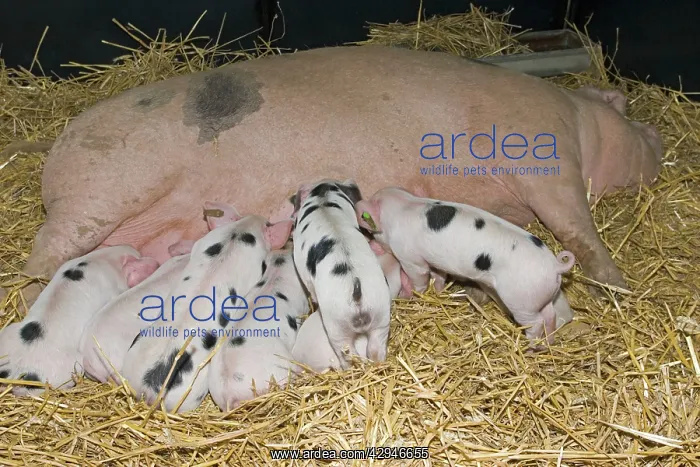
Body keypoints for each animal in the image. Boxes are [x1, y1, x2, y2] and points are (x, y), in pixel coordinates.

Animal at [6, 45, 663, 312]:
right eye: (630, 114)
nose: (657, 138)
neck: (580, 121)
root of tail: (56, 139)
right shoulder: (549, 161)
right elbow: (577, 227)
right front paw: (620, 284)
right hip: (99, 191)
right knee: (45, 251)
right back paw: (27, 293)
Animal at [291, 179, 393, 369]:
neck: (322, 198)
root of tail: (356, 292)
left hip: (337, 327)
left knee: (349, 355)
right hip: (381, 314)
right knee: (376, 349)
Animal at [356, 187, 576, 343]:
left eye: (372, 231)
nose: (372, 244)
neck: (402, 207)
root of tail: (555, 266)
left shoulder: (410, 258)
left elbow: (420, 277)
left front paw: (412, 296)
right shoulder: (436, 260)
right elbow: (439, 275)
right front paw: (438, 291)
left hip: (521, 300)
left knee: (536, 323)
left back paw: (529, 347)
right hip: (540, 297)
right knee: (550, 315)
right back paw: (548, 344)